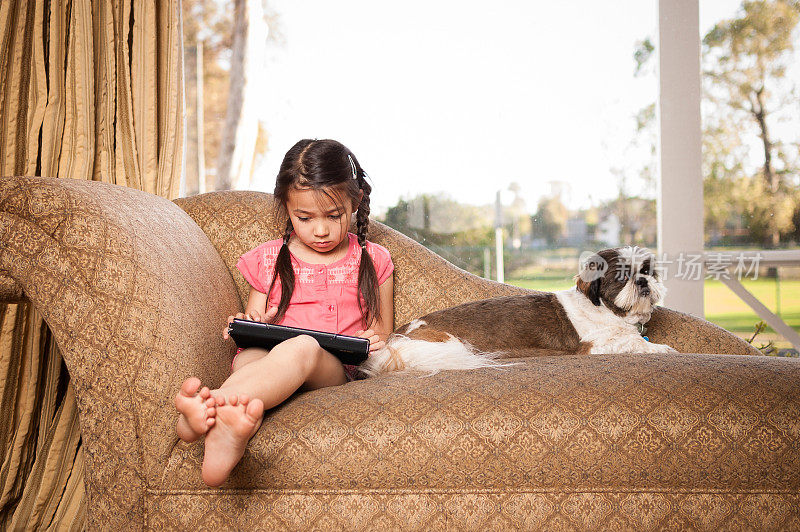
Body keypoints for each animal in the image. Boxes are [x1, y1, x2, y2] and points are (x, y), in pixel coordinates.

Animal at [360, 247, 680, 376]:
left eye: (648, 271)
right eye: (621, 276)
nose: (642, 281)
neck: (607, 311)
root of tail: (394, 343)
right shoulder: (595, 345)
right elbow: (632, 342)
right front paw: (664, 349)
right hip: (450, 343)